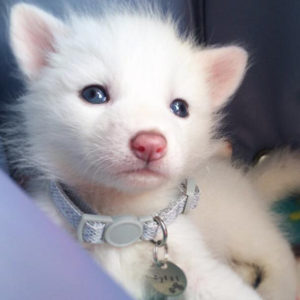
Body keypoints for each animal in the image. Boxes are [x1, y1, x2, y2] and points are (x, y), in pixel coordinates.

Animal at [7, 2, 298, 300]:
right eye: (93, 94)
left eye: (180, 107)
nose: (150, 144)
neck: (121, 226)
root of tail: (249, 180)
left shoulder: (196, 260)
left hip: (244, 227)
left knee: (278, 254)